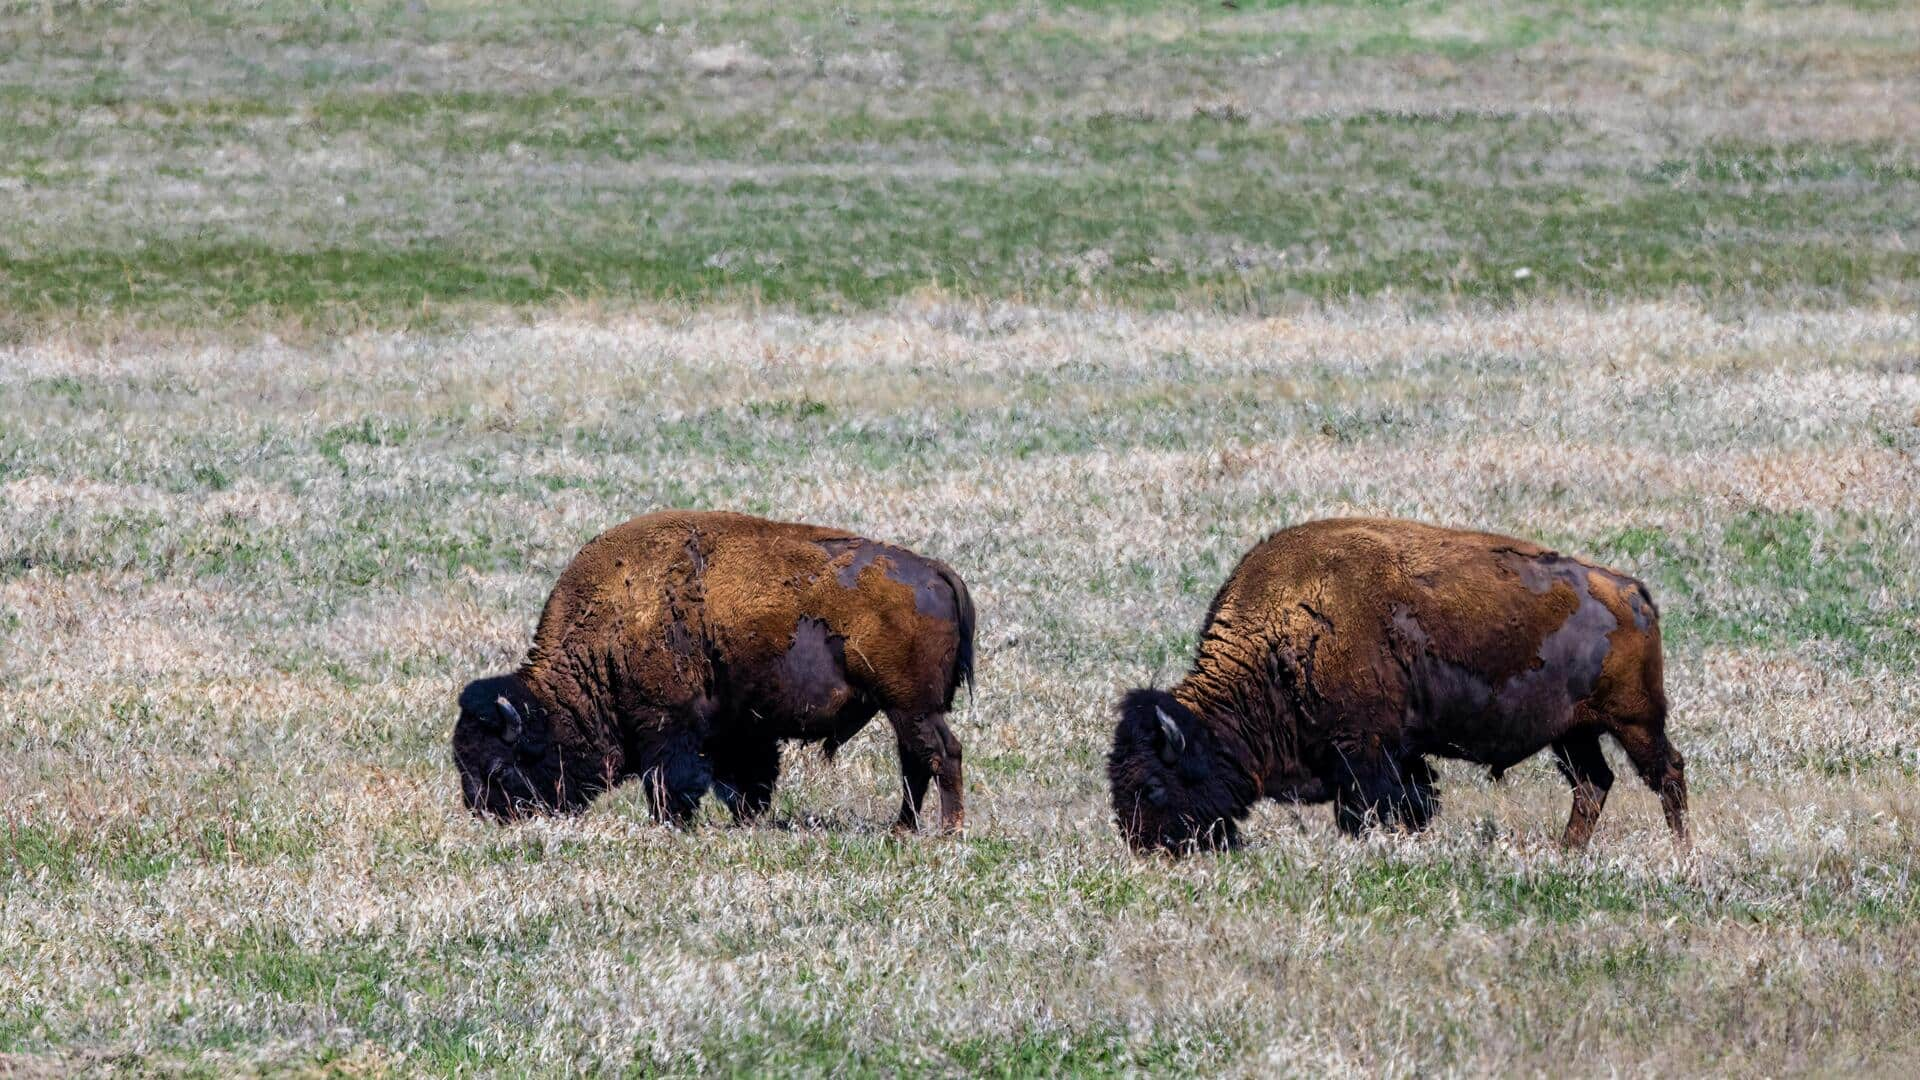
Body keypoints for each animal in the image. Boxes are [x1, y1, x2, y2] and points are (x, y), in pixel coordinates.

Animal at [453, 507, 975, 826]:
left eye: (498, 767)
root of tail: (934, 570)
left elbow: (672, 780)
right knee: (916, 761)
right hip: (905, 709)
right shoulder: (740, 729)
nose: (485, 814)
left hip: (910, 706)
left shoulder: (669, 724)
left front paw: (672, 824)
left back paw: (945, 830)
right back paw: (903, 828)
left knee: (939, 754)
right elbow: (747, 780)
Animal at [1105, 518, 1689, 853]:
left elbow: (1378, 807)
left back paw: (1682, 852)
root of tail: (1632, 592)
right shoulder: (1397, 755)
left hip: (1634, 721)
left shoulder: (1365, 752)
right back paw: (1566, 853)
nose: (1147, 849)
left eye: (1152, 786)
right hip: (1573, 733)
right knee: (1593, 783)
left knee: (1666, 773)